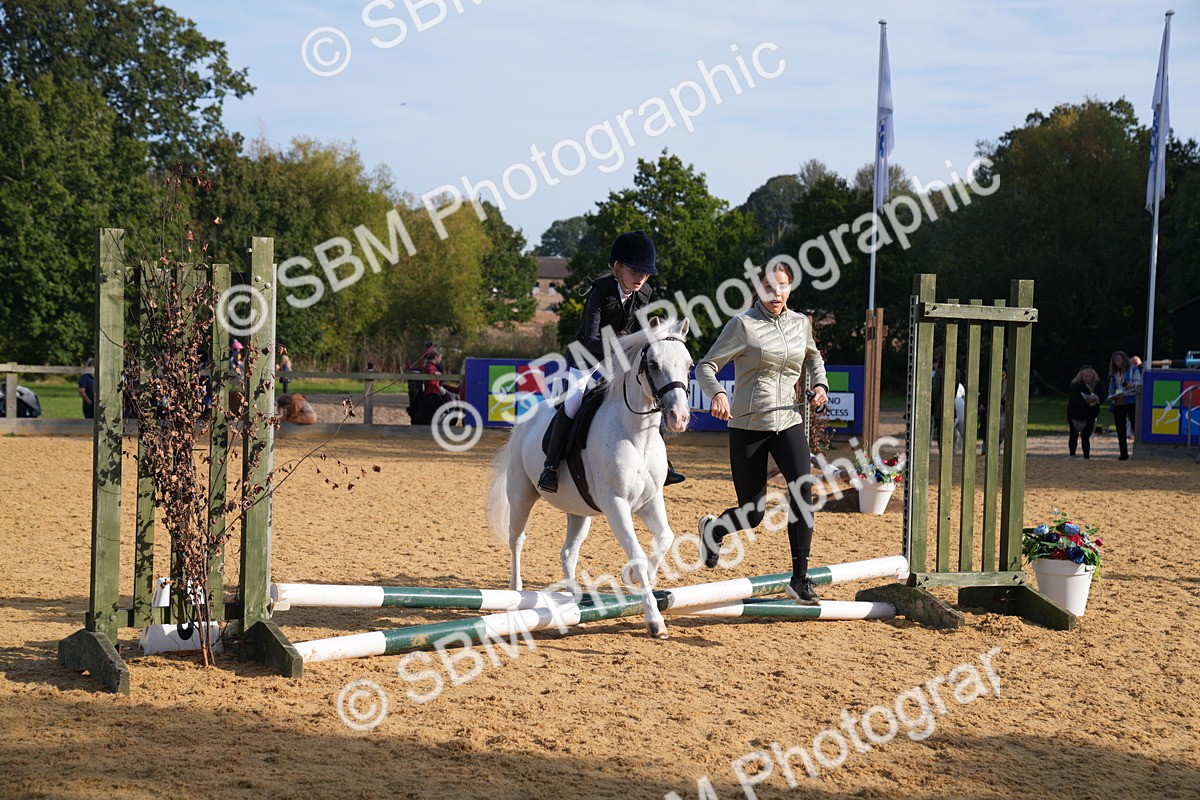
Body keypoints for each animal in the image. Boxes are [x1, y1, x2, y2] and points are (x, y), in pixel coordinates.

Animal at [486, 320, 692, 639]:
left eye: (689, 365)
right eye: (654, 365)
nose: (678, 417)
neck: (637, 434)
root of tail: (527, 418)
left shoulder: (650, 500)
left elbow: (665, 538)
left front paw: (631, 577)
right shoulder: (616, 504)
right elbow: (638, 553)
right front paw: (655, 621)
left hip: (579, 511)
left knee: (568, 553)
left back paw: (573, 603)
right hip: (521, 495)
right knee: (517, 539)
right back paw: (515, 593)